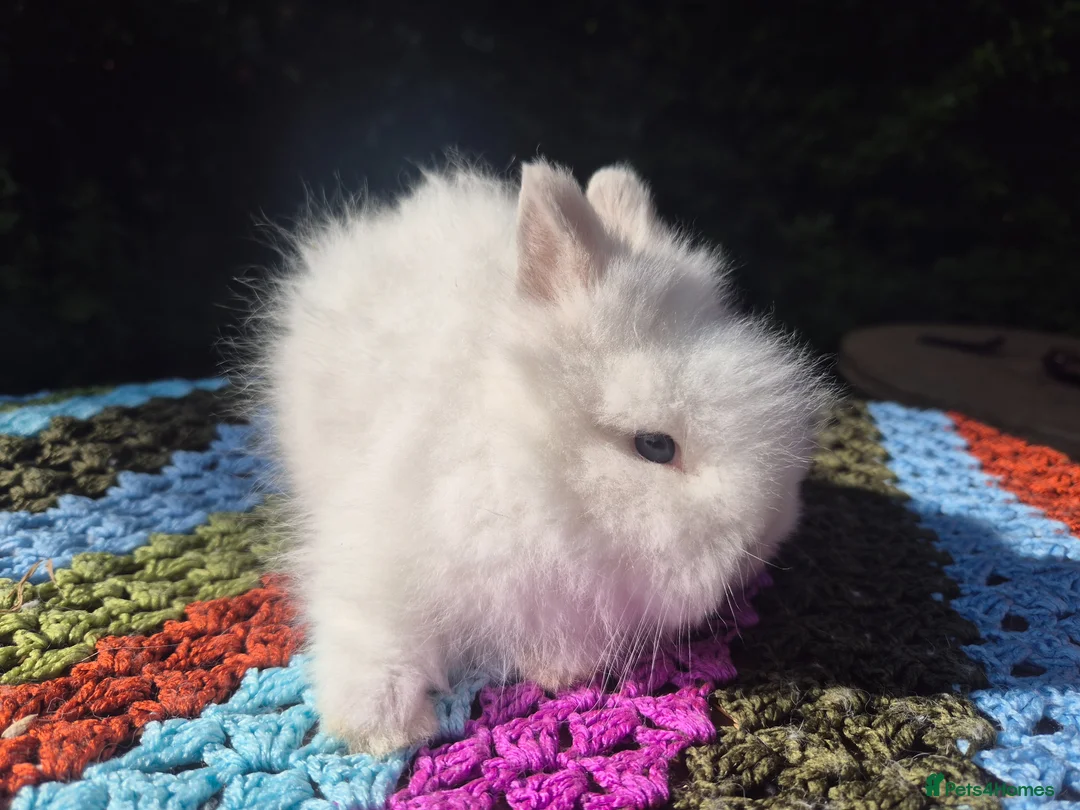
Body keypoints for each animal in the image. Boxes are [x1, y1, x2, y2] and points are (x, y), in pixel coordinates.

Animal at [246, 156, 835, 756]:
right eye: (655, 445)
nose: (759, 542)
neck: (531, 475)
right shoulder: (380, 546)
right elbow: (370, 627)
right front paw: (382, 728)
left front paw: (558, 667)